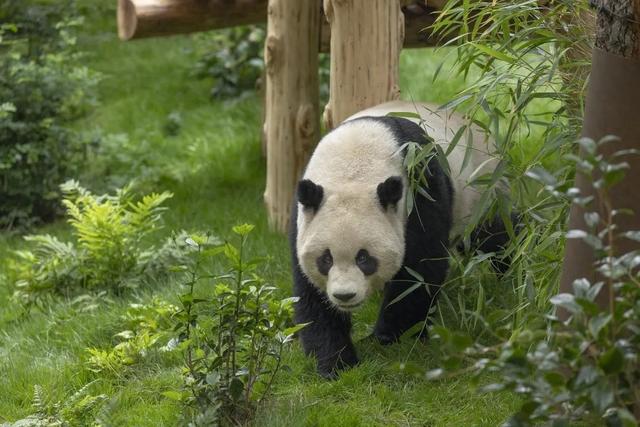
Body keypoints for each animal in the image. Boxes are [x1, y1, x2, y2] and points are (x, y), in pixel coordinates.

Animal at [290, 101, 504, 382]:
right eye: (326, 259)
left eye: (364, 258)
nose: (345, 295)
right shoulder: (304, 217)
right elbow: (311, 294)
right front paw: (335, 363)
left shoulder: (420, 184)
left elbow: (419, 270)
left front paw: (389, 337)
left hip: (481, 192)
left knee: (495, 236)